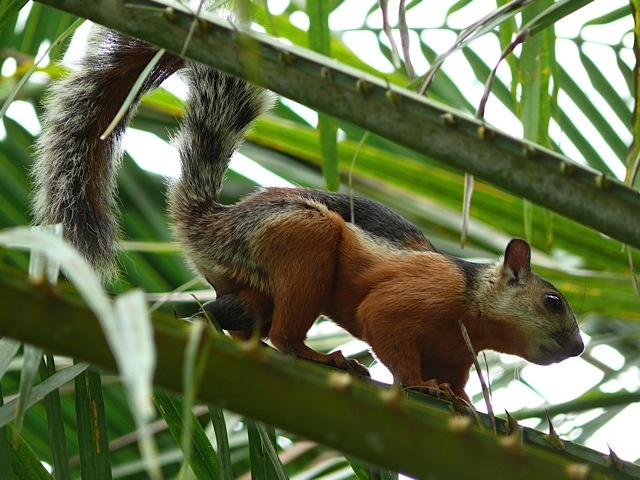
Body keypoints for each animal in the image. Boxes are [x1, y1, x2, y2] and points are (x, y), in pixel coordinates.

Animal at [33, 23, 584, 402]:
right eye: (553, 301)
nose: (579, 347)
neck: (472, 305)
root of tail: (211, 224)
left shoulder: (456, 355)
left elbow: (457, 380)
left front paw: (465, 405)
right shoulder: (419, 296)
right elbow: (387, 331)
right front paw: (421, 387)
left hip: (249, 287)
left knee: (230, 314)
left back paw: (198, 321)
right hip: (303, 237)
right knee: (282, 334)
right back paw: (318, 355)